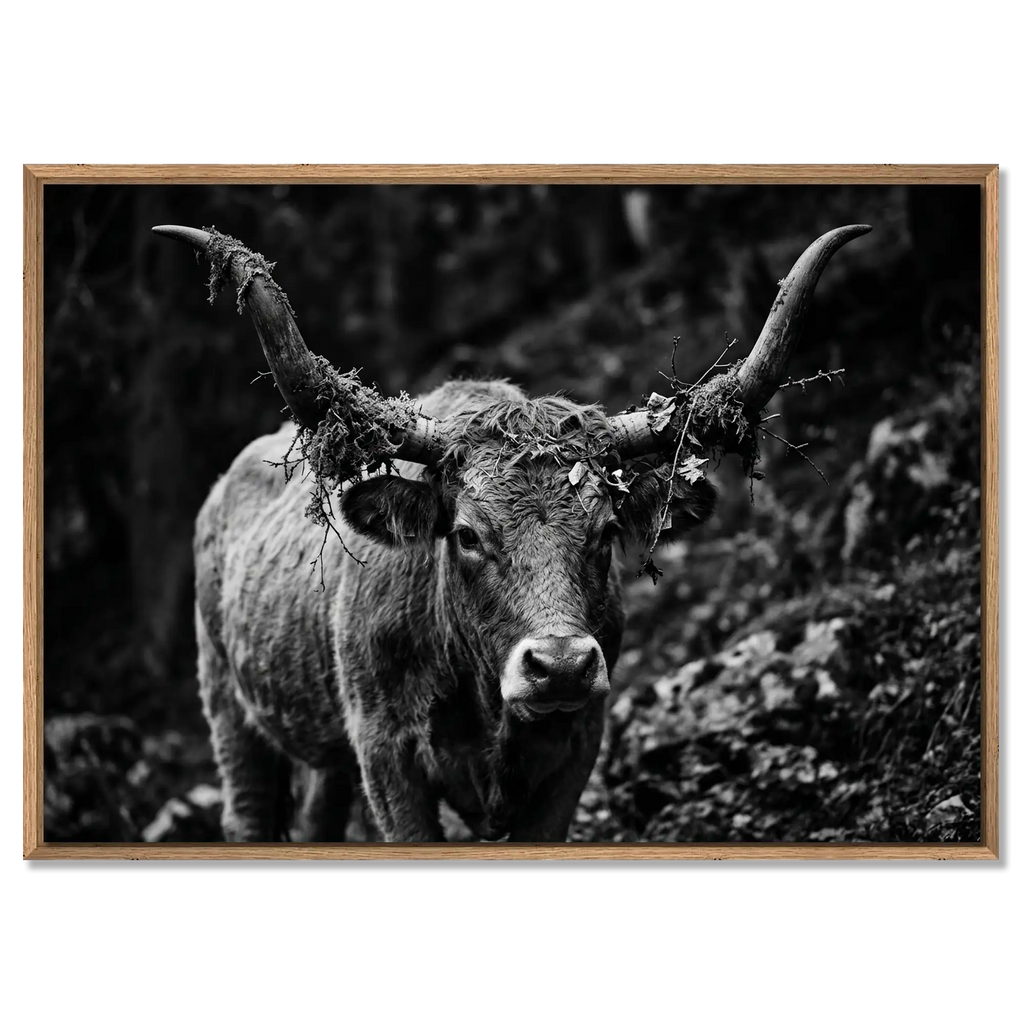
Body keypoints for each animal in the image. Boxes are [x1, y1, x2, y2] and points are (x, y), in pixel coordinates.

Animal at [153, 220, 870, 842]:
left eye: (607, 531)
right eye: (467, 535)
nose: (560, 666)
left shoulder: (576, 748)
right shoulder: (387, 757)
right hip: (231, 715)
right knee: (247, 811)